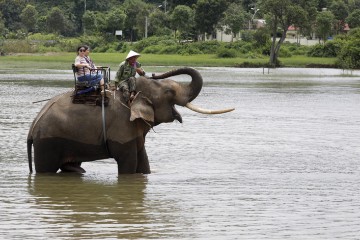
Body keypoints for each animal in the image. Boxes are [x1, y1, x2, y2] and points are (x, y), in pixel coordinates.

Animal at [26, 66, 235, 173]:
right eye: (169, 92)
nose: (153, 73)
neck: (130, 94)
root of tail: (33, 126)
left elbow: (143, 162)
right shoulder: (122, 128)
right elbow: (128, 164)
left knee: (71, 168)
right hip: (48, 142)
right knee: (46, 170)